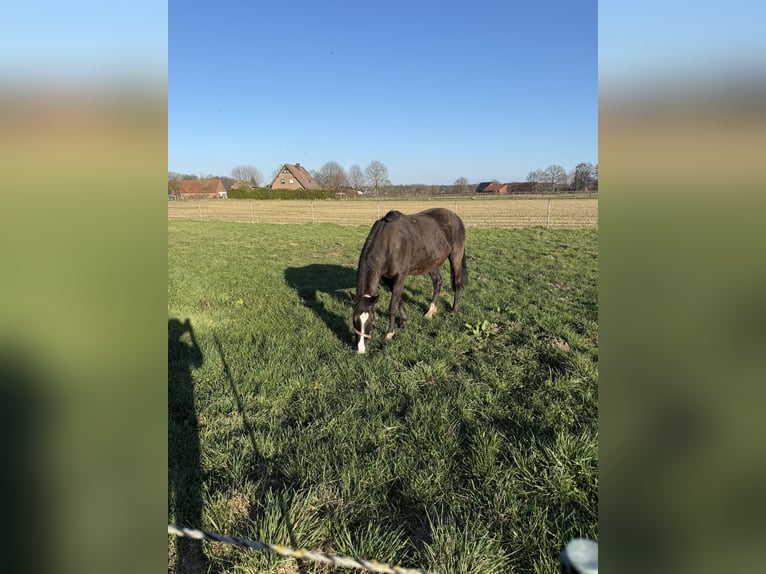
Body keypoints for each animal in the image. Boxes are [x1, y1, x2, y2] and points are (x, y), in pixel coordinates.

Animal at [351, 207, 467, 353]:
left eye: (371, 319)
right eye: (354, 319)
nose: (360, 349)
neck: (389, 244)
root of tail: (455, 216)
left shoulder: (400, 276)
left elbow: (393, 306)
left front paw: (390, 333)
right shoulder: (387, 278)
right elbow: (398, 300)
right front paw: (404, 322)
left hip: (455, 256)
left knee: (456, 283)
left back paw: (454, 310)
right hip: (432, 262)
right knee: (437, 282)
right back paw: (430, 312)